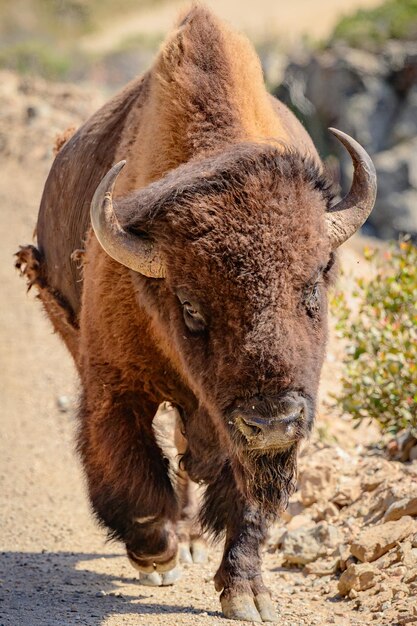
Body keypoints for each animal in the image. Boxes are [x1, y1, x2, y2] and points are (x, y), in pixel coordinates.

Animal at [15, 7, 374, 620]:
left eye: (312, 287)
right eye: (189, 305)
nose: (271, 419)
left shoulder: (250, 436)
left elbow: (246, 501)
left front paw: (248, 596)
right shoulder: (114, 387)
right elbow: (131, 477)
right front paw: (159, 555)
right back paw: (174, 547)